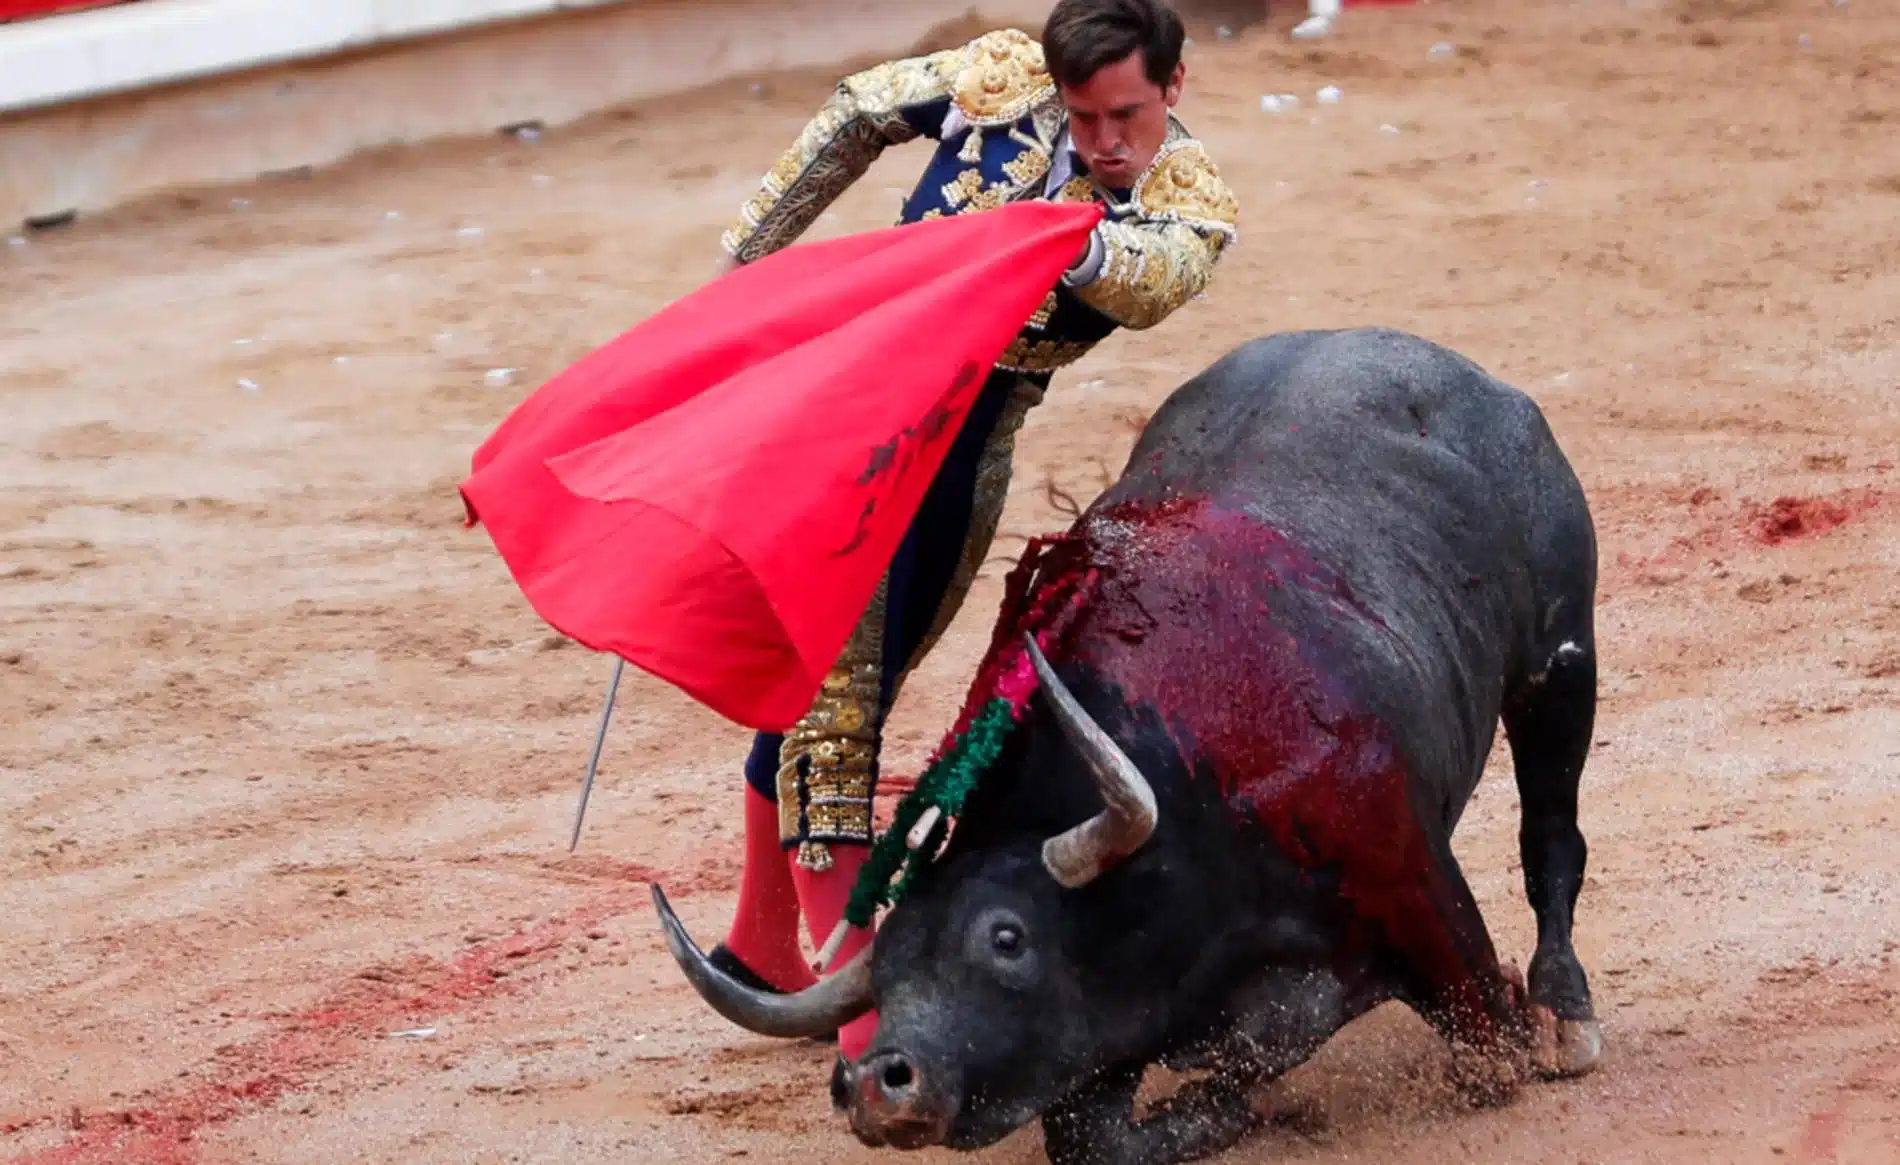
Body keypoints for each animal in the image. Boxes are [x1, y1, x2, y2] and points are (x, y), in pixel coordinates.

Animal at [646, 328, 1596, 1163]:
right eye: (885, 968)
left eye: (1007, 937)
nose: (876, 1081)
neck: (1187, 797)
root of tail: (1461, 374)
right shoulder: (1109, 1024)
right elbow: (1094, 1133)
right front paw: (1231, 1110)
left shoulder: (1416, 892)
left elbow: (1490, 1050)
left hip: (1560, 662)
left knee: (1552, 836)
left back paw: (1571, 1015)